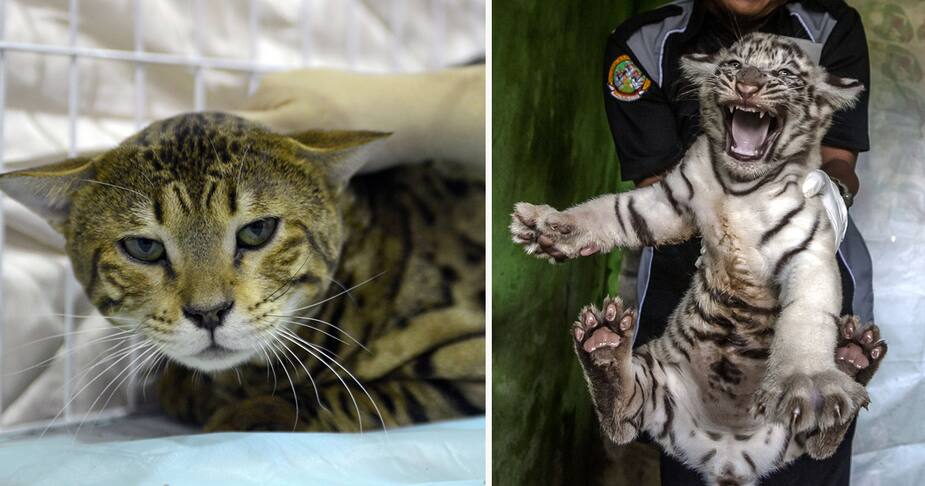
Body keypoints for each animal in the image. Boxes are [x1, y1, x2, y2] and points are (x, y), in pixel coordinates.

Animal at [0, 111, 484, 432]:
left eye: (257, 231)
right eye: (144, 247)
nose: (209, 313)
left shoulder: (472, 359)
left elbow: (346, 400)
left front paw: (243, 412)